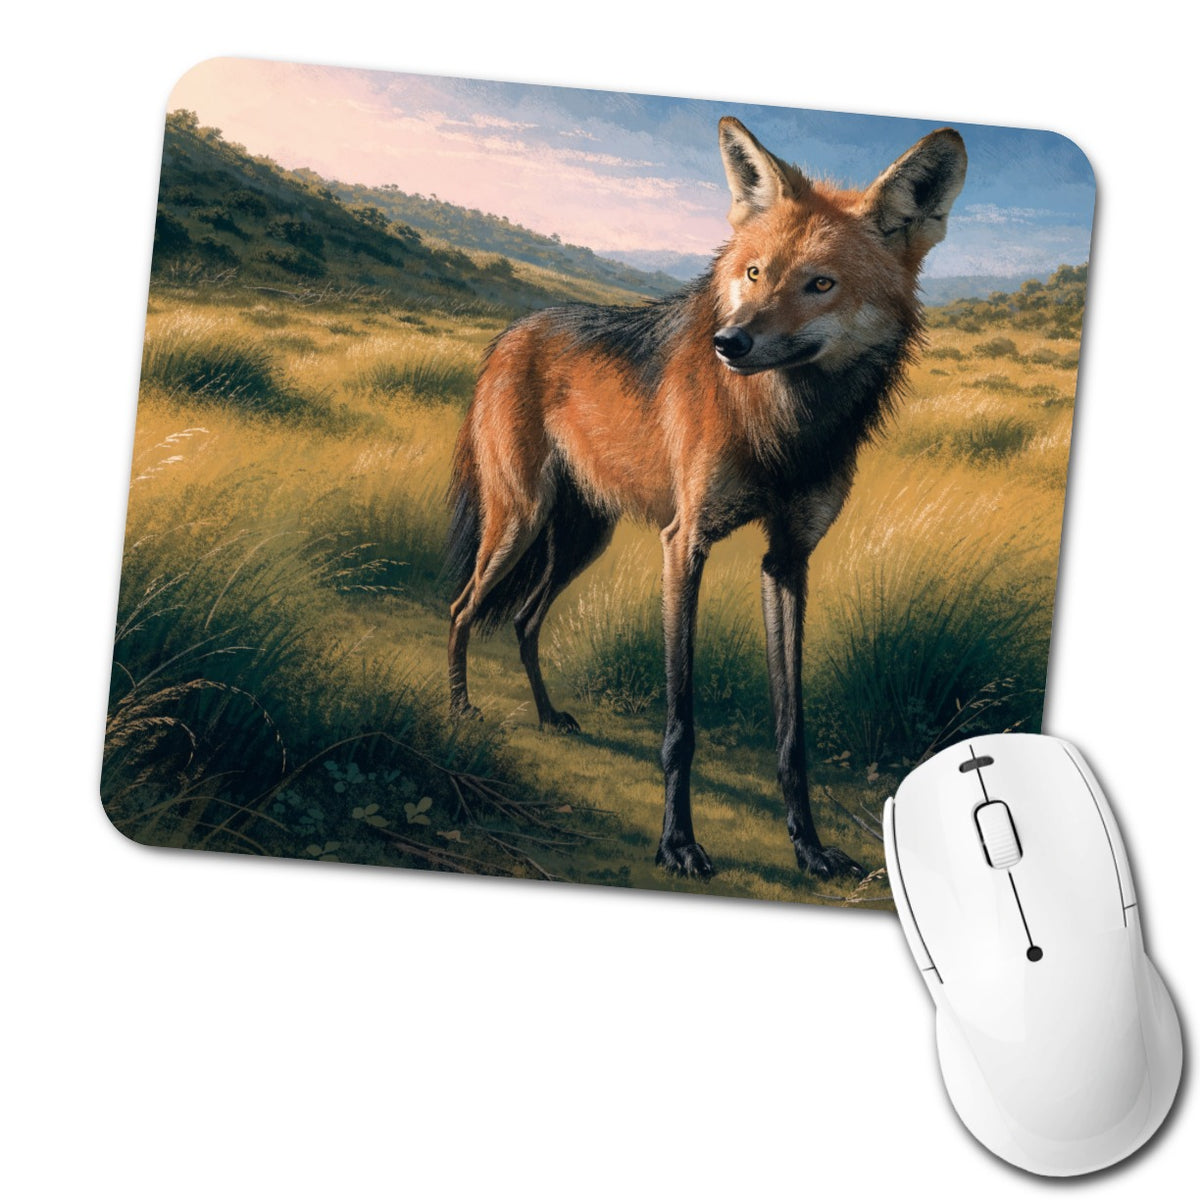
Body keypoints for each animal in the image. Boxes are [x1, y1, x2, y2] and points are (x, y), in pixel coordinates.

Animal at [446, 117, 967, 880]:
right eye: (753, 273)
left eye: (820, 284)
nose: (729, 341)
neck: (784, 433)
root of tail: (515, 329)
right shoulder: (684, 543)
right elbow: (680, 727)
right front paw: (677, 843)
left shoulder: (787, 559)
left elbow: (791, 733)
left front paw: (809, 847)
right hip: (520, 523)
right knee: (462, 609)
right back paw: (458, 713)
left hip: (582, 540)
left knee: (521, 620)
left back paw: (547, 717)